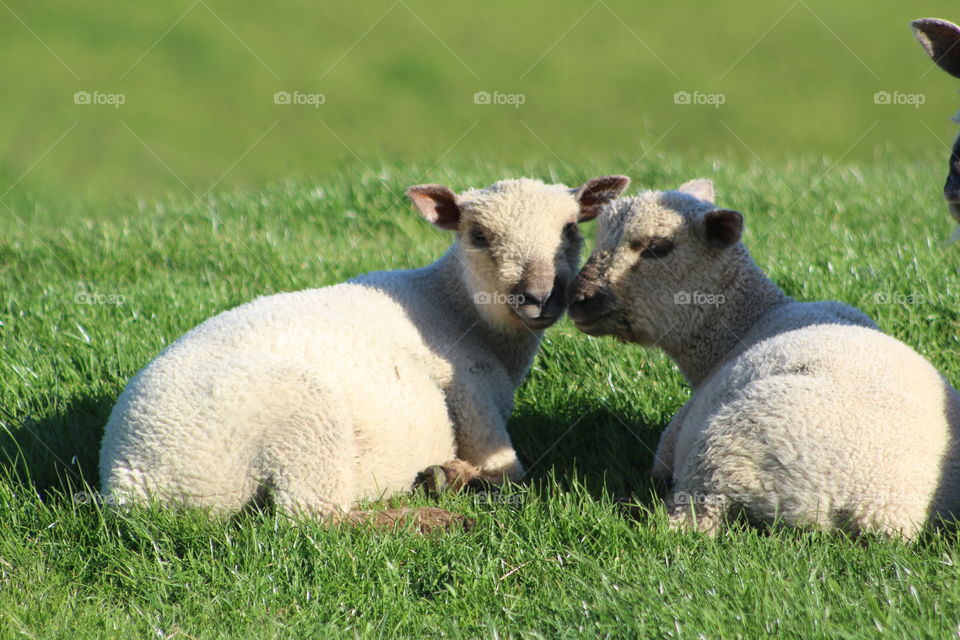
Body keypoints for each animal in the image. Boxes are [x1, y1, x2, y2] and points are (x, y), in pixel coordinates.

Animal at [100, 175, 630, 527]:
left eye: (570, 230)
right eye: (478, 236)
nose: (540, 296)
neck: (457, 306)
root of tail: (129, 476)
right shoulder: (471, 398)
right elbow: (514, 477)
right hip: (301, 422)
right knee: (311, 519)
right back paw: (432, 514)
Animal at [568, 179, 960, 539]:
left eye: (657, 248)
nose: (578, 299)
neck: (746, 323)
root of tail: (883, 511)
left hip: (726, 451)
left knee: (692, 521)